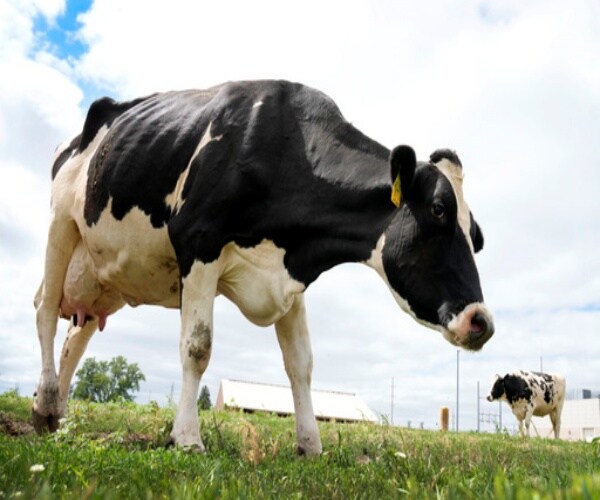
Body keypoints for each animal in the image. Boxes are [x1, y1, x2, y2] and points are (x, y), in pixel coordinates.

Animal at [30, 79, 494, 458]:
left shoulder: (289, 277)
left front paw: (310, 445)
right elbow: (197, 347)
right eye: (438, 210)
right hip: (60, 223)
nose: (481, 321)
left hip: (101, 272)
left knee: (78, 334)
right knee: (46, 310)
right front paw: (187, 438)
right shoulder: (198, 241)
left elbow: (301, 364)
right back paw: (44, 405)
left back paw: (57, 414)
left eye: (477, 234)